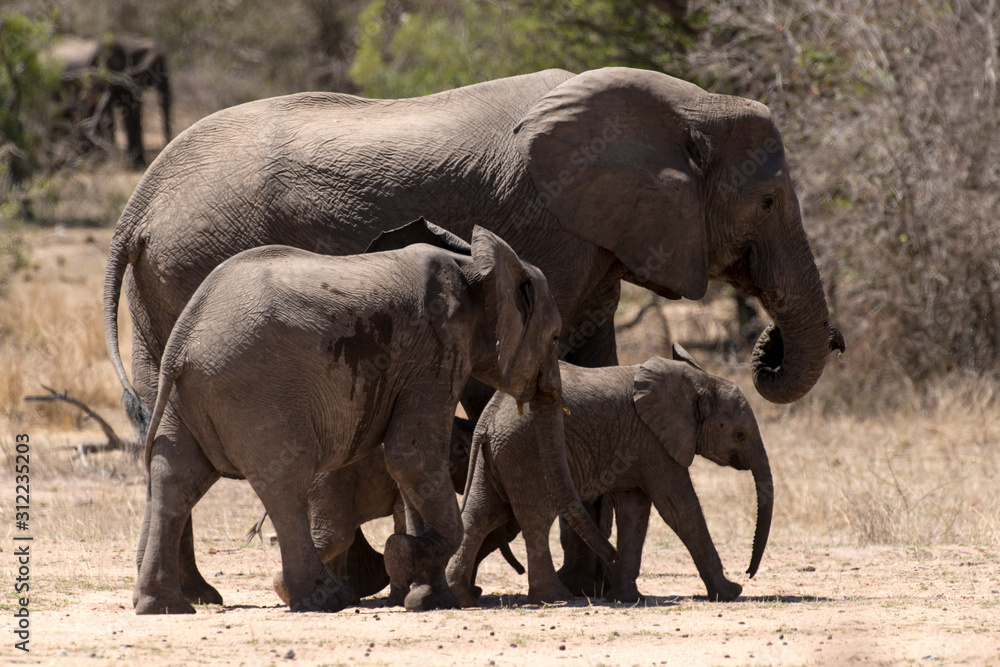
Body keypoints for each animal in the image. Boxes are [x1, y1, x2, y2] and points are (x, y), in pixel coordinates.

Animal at [133, 219, 615, 614]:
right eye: (555, 336)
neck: (474, 267)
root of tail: (186, 333)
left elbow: (412, 470)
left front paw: (429, 596)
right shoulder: (435, 351)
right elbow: (412, 455)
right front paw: (405, 559)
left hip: (187, 393)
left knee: (176, 476)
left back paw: (163, 607)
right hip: (254, 390)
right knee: (285, 481)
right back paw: (321, 600)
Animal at [446, 345, 772, 605]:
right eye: (739, 435)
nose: (749, 572)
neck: (698, 381)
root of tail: (487, 420)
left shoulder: (640, 446)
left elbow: (635, 510)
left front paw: (627, 598)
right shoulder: (653, 441)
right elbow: (679, 509)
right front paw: (731, 592)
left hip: (495, 457)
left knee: (482, 515)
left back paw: (464, 597)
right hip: (526, 454)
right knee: (536, 520)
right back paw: (556, 598)